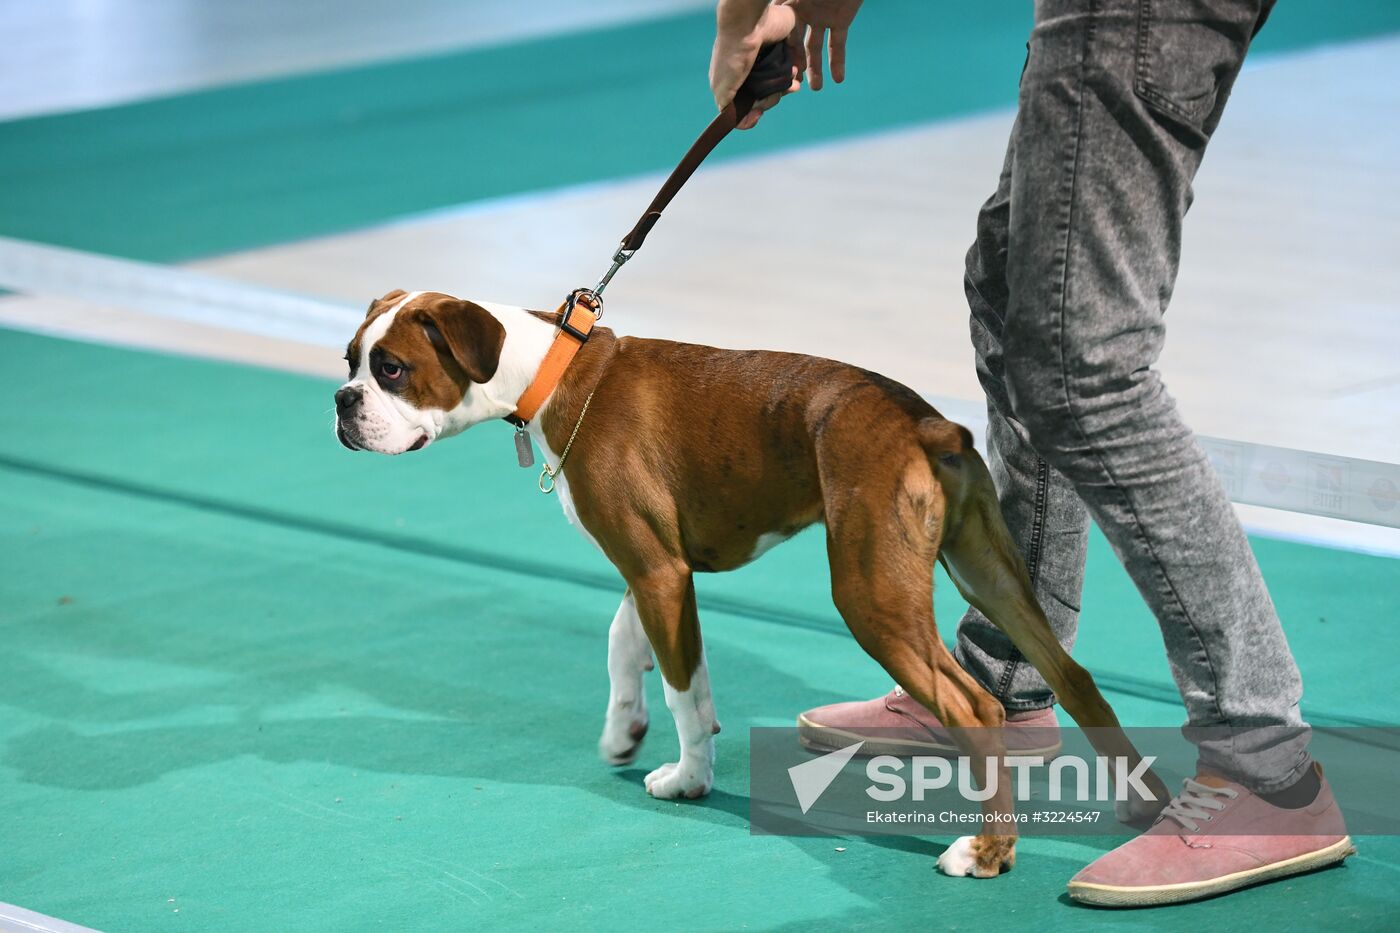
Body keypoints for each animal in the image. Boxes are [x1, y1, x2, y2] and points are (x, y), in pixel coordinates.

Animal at [333, 287, 1164, 874]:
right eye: (348, 361)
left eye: (392, 369)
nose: (341, 402)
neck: (552, 368)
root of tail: (924, 422)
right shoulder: (651, 566)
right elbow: (624, 642)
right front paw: (623, 726)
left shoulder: (661, 572)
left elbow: (684, 687)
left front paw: (688, 777)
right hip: (989, 573)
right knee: (1076, 678)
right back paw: (1147, 807)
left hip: (873, 597)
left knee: (975, 706)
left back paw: (987, 852)